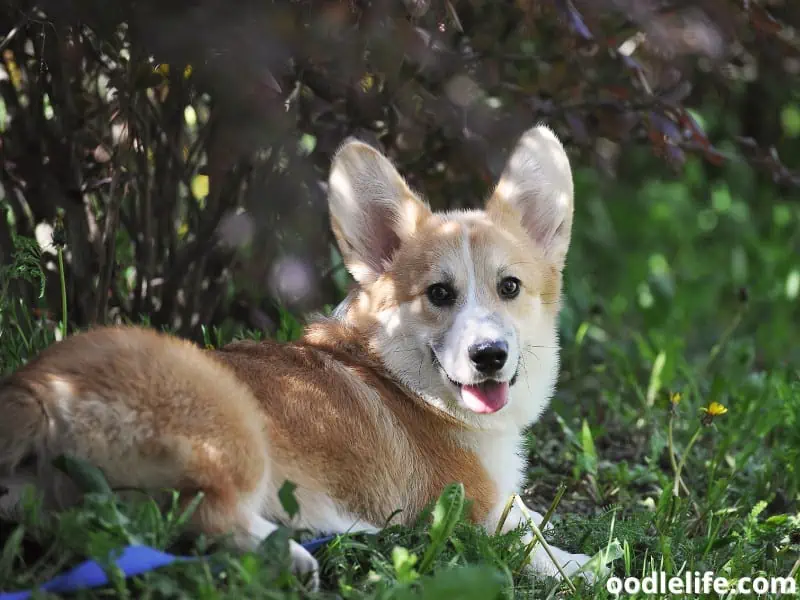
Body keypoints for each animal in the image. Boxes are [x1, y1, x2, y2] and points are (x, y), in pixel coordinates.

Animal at [0, 124, 596, 588]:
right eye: (439, 294)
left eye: (509, 287)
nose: (489, 356)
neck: (398, 378)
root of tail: (38, 387)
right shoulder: (474, 514)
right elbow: (533, 546)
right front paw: (582, 566)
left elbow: (531, 515)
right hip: (232, 427)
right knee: (209, 516)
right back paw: (304, 552)